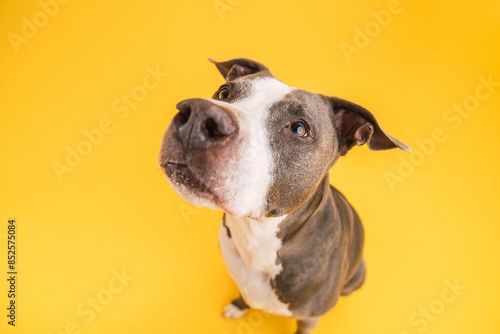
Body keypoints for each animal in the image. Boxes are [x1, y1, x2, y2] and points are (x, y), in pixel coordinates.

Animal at [160, 58, 410, 332]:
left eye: (299, 128)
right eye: (224, 92)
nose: (198, 116)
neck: (258, 237)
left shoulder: (309, 319)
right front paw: (238, 306)